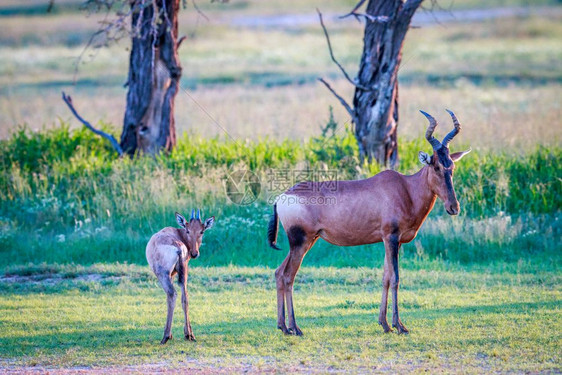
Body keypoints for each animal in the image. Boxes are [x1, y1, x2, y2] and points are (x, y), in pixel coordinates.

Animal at [145, 210, 213, 346]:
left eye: (201, 231)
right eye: (188, 230)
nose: (194, 253)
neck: (177, 233)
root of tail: (177, 246)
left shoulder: (169, 275)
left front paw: (171, 335)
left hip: (163, 275)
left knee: (172, 294)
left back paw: (165, 337)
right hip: (183, 272)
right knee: (184, 296)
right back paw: (189, 335)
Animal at [266, 110, 468, 336]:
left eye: (452, 166)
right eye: (436, 166)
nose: (454, 207)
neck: (406, 188)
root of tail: (282, 197)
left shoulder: (393, 241)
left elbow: (386, 277)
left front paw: (385, 324)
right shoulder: (391, 237)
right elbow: (396, 278)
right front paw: (400, 326)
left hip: (305, 242)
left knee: (279, 273)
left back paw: (283, 326)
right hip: (300, 242)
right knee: (288, 276)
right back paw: (295, 327)